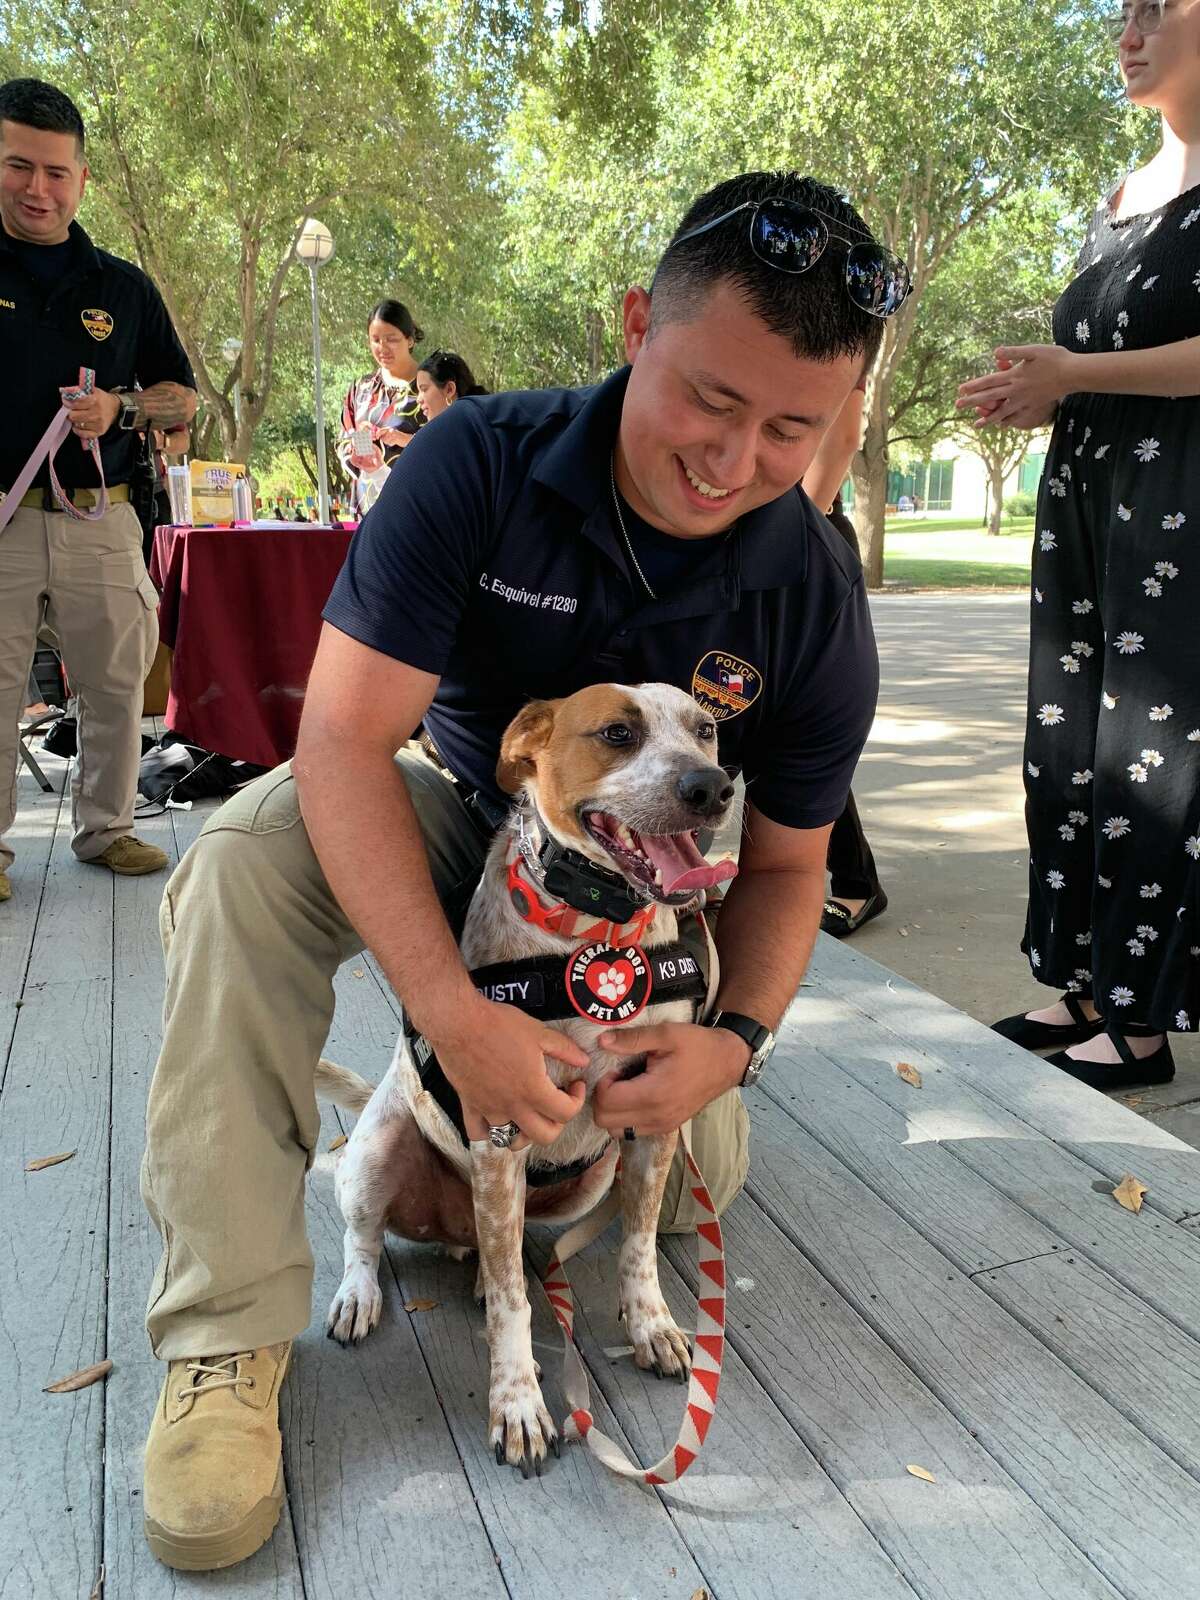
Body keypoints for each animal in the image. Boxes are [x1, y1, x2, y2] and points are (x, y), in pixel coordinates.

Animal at [315, 675, 739, 1472]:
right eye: (617, 733)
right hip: (379, 1150)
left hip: (588, 1181)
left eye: (705, 729)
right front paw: (517, 1403)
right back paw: (362, 1293)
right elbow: (516, 1302)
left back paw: (480, 1266)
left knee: (496, 1245)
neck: (595, 933)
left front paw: (652, 1325)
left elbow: (638, 1245)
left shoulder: (653, 1116)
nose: (712, 787)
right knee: (369, 1238)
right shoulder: (502, 1128)